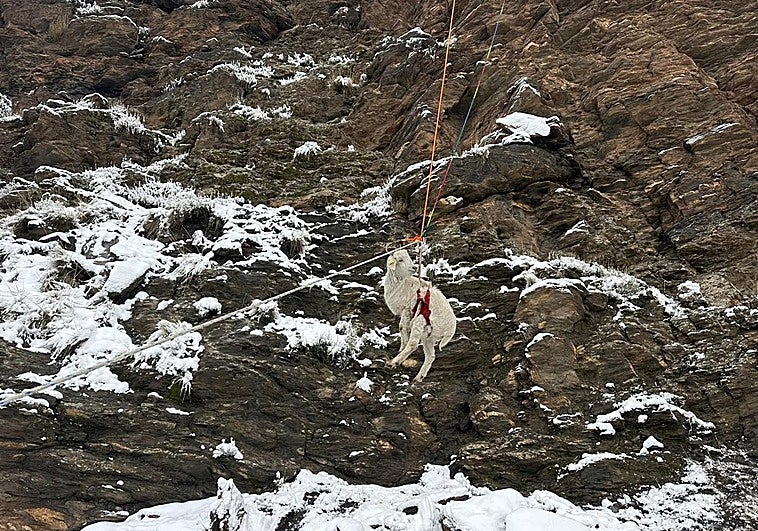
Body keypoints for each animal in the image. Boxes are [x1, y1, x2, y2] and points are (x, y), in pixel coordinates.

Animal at [383, 249, 456, 382]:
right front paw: (401, 347)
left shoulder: (407, 309)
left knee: (413, 344)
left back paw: (393, 362)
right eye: (400, 260)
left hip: (421, 319)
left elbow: (402, 327)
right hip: (429, 335)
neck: (401, 284)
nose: (414, 267)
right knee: (431, 356)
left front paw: (402, 346)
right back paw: (418, 377)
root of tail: (450, 329)